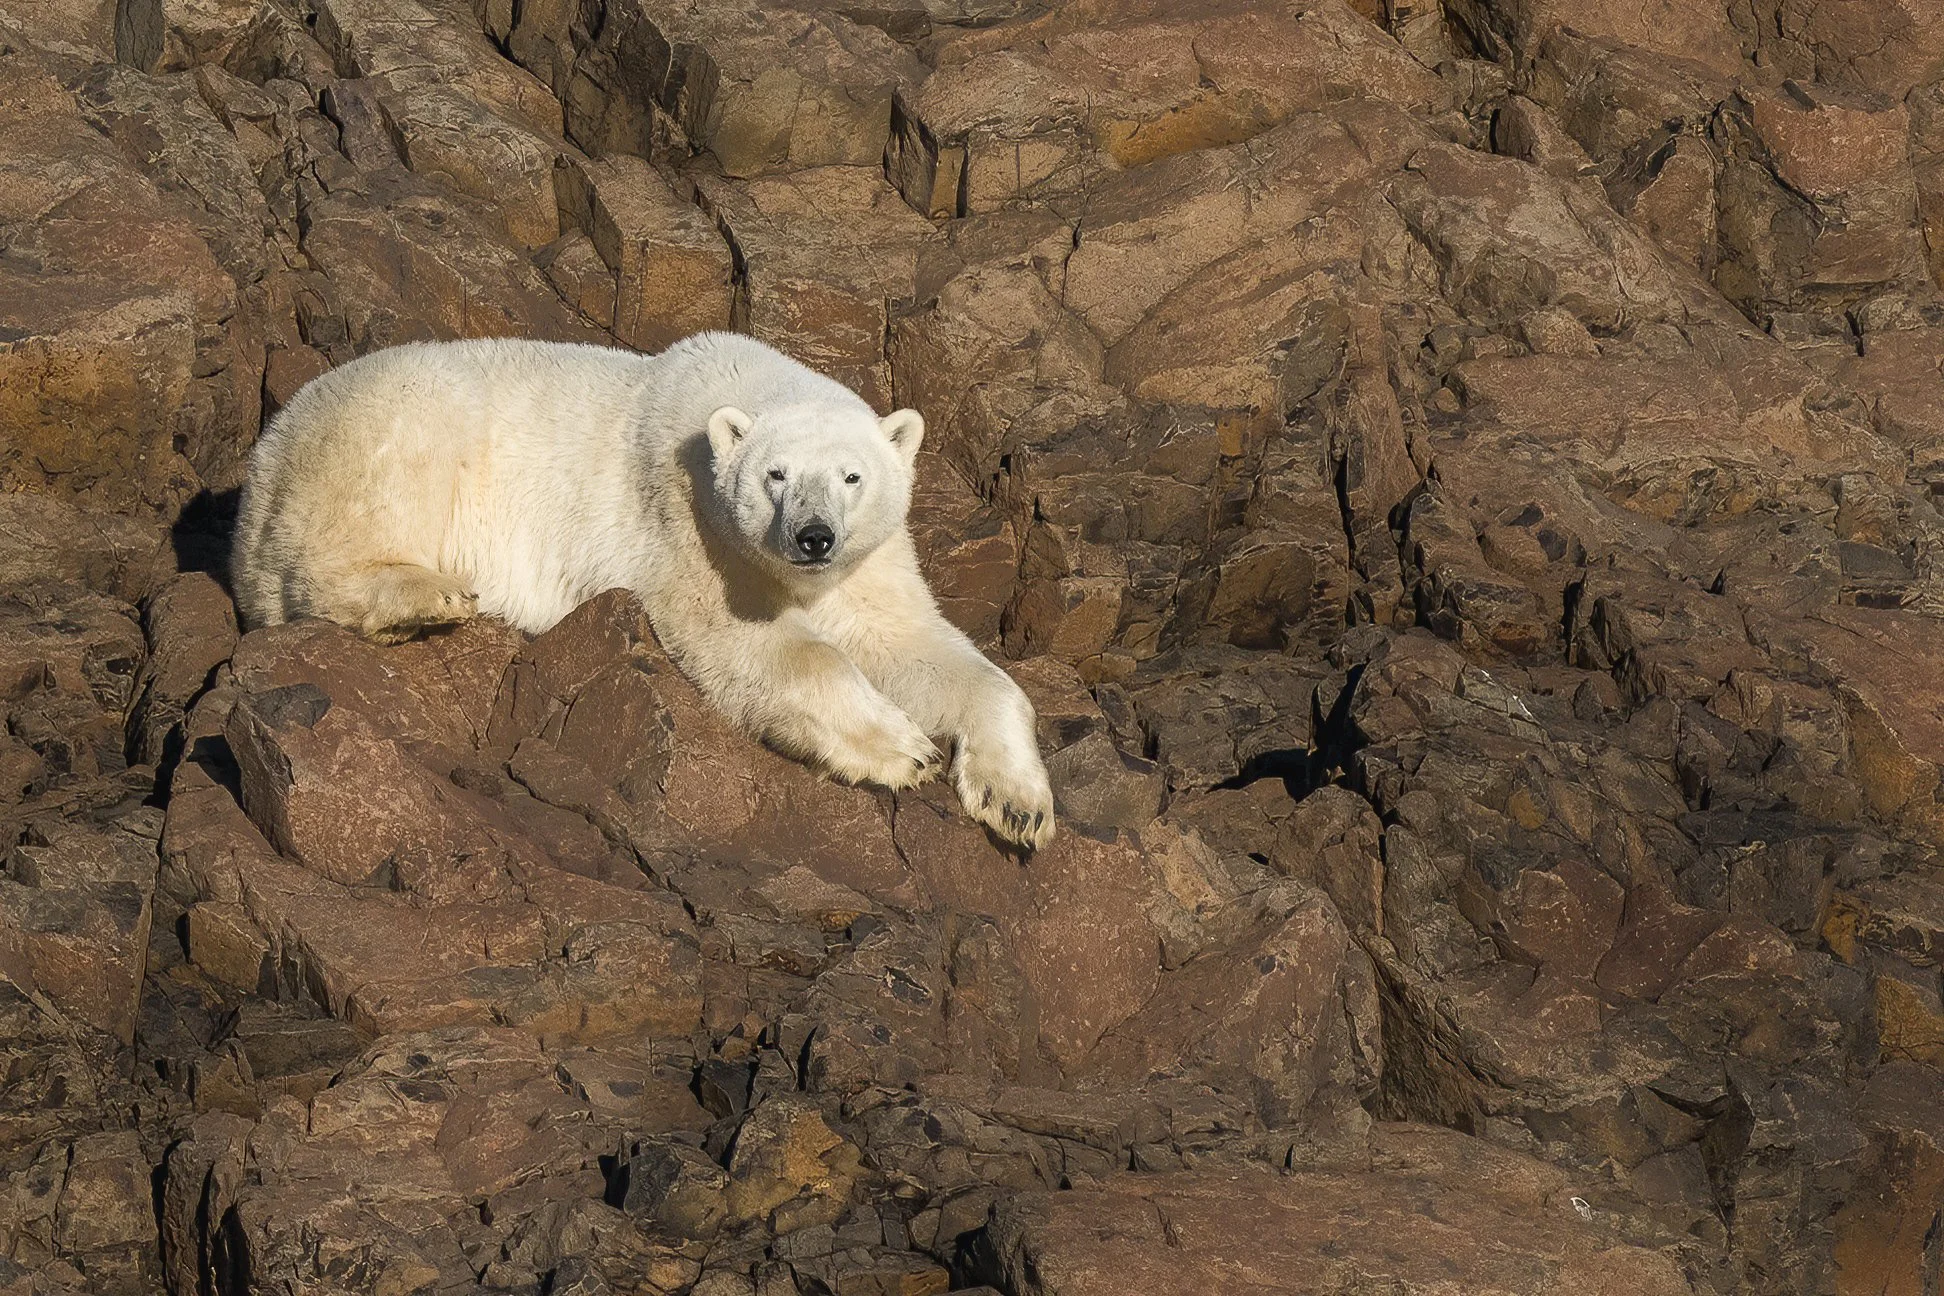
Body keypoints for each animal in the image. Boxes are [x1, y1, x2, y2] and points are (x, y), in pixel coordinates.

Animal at [231, 331, 1056, 849]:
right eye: (776, 474)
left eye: (853, 476)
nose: (813, 537)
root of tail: (262, 464)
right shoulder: (690, 522)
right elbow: (750, 640)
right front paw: (903, 750)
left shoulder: (866, 564)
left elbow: (912, 643)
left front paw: (1018, 804)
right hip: (397, 420)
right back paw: (424, 598)